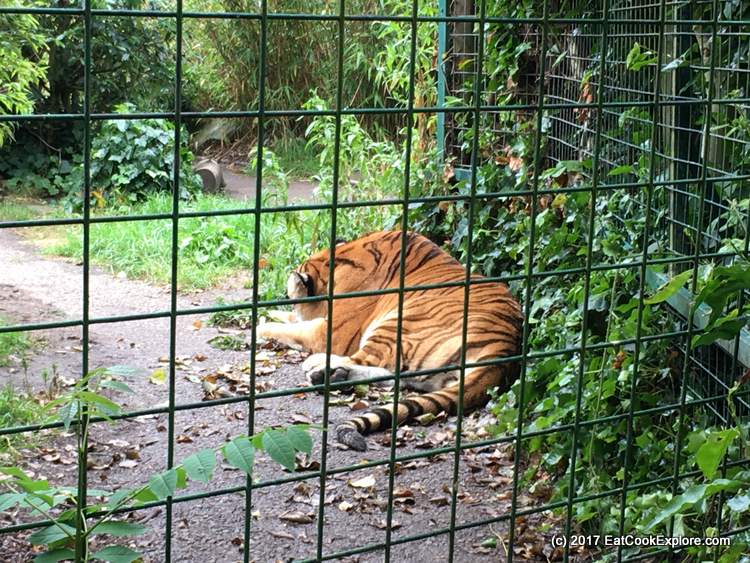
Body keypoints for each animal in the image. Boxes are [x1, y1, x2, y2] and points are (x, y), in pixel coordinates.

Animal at [256, 230, 523, 451]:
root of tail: (505, 349)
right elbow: (288, 319)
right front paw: (267, 313)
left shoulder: (331, 331)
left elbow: (293, 328)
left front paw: (261, 326)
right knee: (394, 376)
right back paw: (334, 374)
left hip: (398, 322)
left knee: (369, 361)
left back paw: (318, 367)